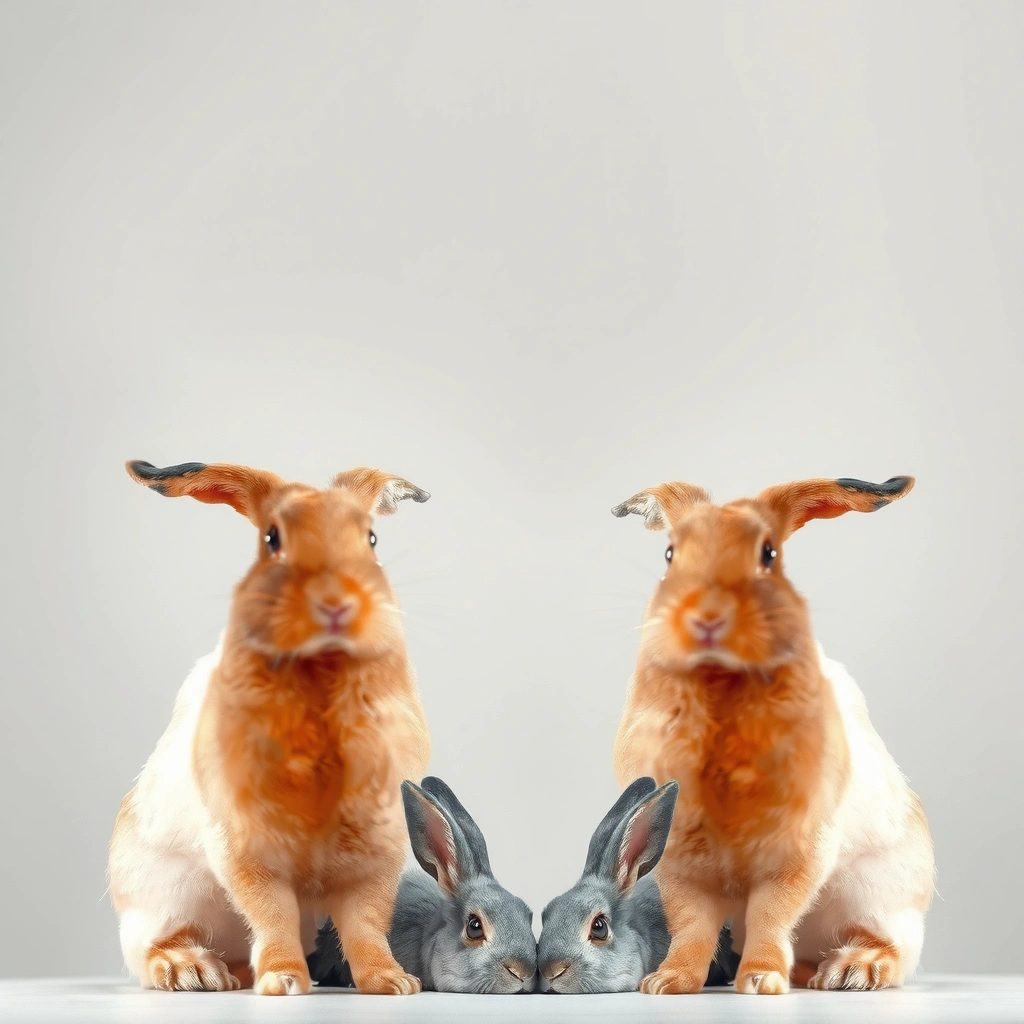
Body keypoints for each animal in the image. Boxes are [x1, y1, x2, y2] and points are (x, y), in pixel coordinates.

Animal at [107, 461, 432, 996]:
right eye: (272, 538)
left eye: (371, 539)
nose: (336, 603)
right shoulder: (246, 846)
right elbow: (272, 912)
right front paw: (283, 981)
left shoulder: (374, 849)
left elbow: (366, 921)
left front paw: (392, 982)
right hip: (165, 899)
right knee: (155, 949)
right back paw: (194, 971)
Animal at [611, 475, 935, 995]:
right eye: (669, 554)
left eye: (768, 554)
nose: (707, 617)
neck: (720, 686)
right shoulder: (683, 859)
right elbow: (691, 923)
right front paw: (669, 982)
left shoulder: (796, 848)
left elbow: (772, 913)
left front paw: (761, 980)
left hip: (877, 899)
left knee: (892, 950)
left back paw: (850, 971)